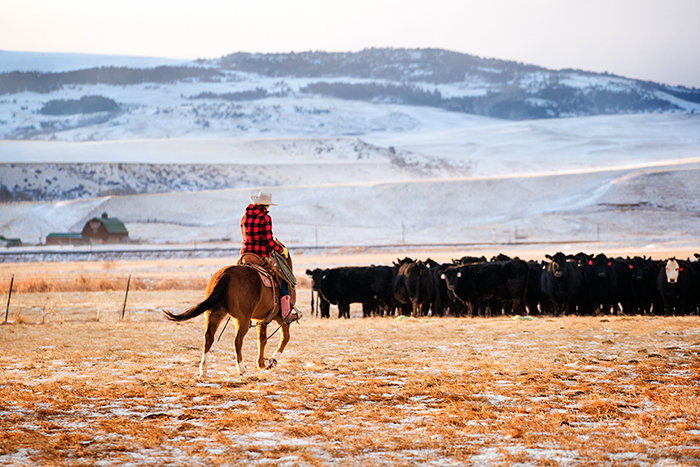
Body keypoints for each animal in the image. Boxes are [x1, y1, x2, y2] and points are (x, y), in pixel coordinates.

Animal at [163, 256, 292, 380]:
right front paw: (272, 361)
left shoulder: (262, 320)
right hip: (243, 320)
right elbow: (284, 338)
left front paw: (262, 364)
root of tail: (225, 274)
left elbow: (262, 340)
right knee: (238, 341)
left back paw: (203, 370)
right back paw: (242, 368)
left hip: (215, 313)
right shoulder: (282, 318)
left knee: (209, 337)